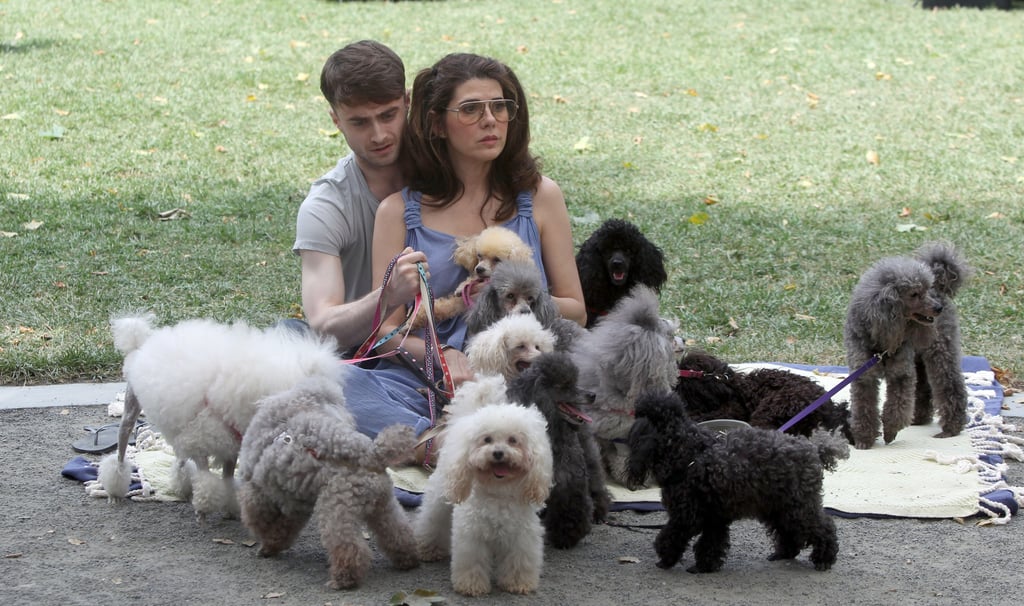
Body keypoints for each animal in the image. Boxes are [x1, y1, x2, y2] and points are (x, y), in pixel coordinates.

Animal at [97, 313, 342, 520]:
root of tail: (141, 343)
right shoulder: (202, 444)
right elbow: (206, 479)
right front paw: (204, 509)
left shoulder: (230, 447)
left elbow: (227, 480)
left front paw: (230, 509)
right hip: (132, 410)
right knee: (121, 449)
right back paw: (115, 489)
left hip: (180, 427)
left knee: (180, 456)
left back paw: (182, 487)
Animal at [415, 403, 557, 597]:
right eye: (487, 439)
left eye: (513, 440)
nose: (498, 453)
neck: (498, 490)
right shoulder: (472, 534)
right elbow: (473, 560)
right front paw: (471, 585)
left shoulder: (522, 535)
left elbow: (519, 559)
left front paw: (518, 583)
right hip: (439, 499)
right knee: (431, 521)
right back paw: (429, 549)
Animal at [622, 393, 847, 573]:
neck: (689, 451)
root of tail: (815, 449)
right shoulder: (714, 518)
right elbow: (711, 543)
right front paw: (705, 566)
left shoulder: (687, 517)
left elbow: (672, 536)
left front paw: (667, 559)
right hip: (779, 507)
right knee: (789, 532)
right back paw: (783, 553)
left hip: (798, 507)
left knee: (823, 528)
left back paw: (824, 559)